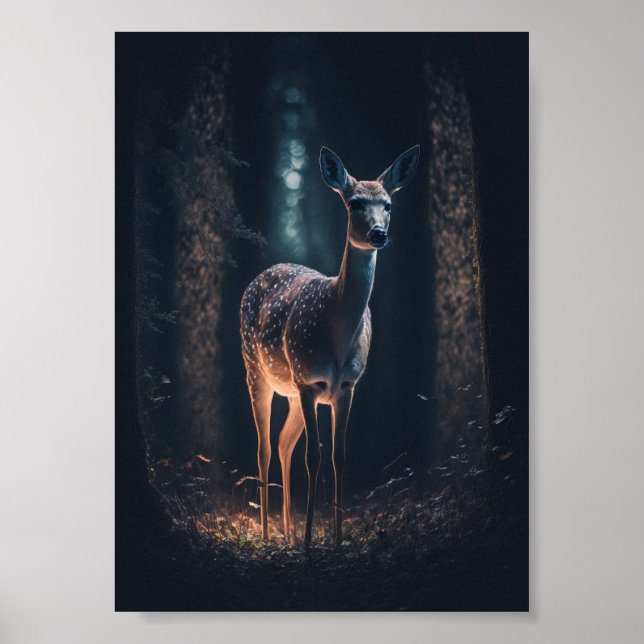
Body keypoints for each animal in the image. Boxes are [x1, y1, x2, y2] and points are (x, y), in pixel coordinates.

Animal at [240, 145, 420, 549]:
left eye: (388, 204)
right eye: (354, 203)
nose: (379, 233)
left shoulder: (348, 385)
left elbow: (339, 456)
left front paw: (336, 539)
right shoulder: (309, 382)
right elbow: (314, 457)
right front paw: (311, 542)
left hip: (291, 390)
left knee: (283, 442)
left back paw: (288, 533)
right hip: (256, 369)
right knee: (263, 448)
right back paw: (269, 535)